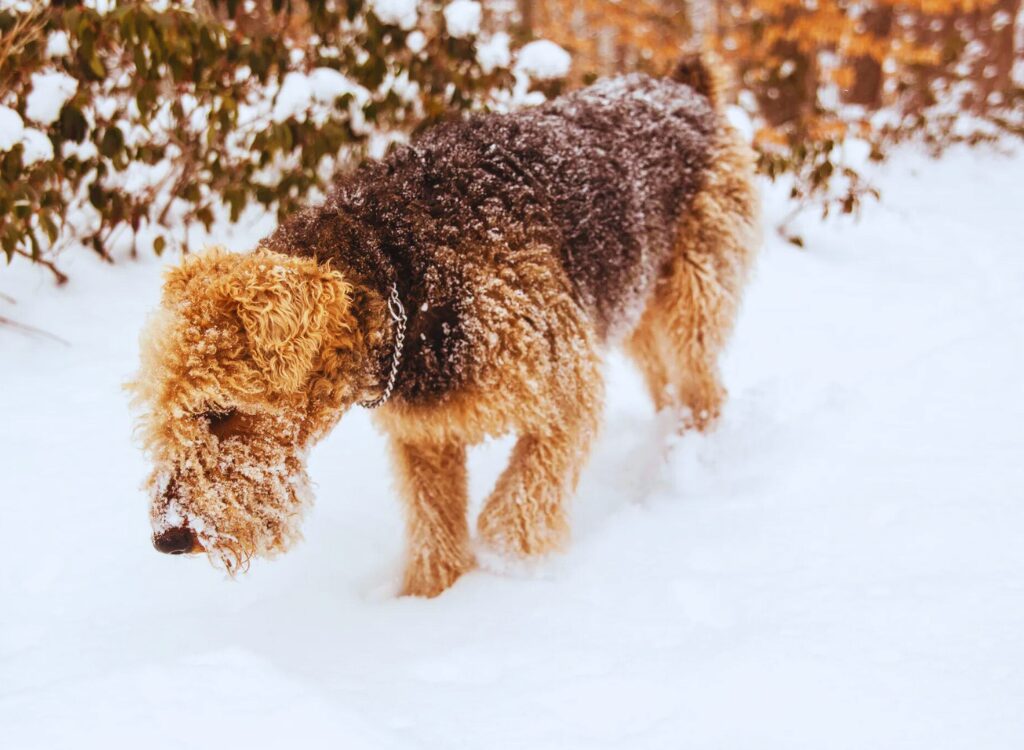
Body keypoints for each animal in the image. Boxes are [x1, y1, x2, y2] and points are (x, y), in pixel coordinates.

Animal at [130, 55, 761, 598]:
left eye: (220, 411)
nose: (168, 538)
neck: (399, 275)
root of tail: (684, 87)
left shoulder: (565, 396)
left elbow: (514, 510)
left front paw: (507, 577)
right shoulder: (426, 440)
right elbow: (436, 536)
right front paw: (428, 603)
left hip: (692, 300)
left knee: (705, 391)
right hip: (639, 309)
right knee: (668, 386)